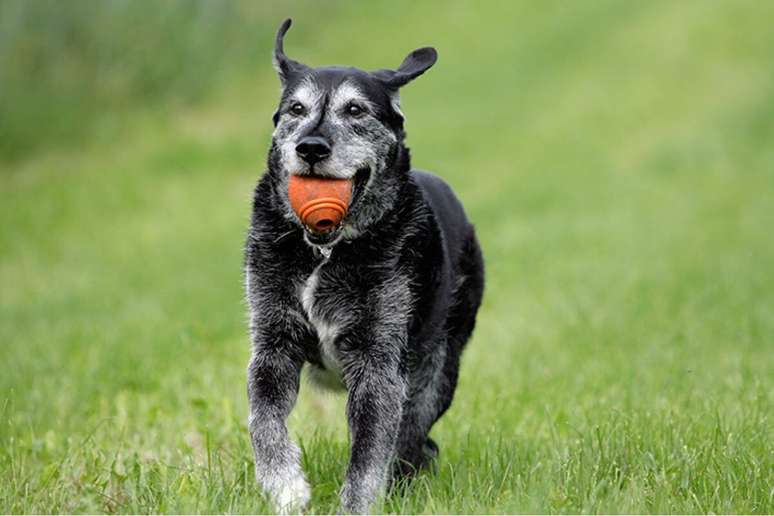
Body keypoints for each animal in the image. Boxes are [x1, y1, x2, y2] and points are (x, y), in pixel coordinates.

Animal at [246, 19, 482, 512]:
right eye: (295, 108)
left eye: (355, 109)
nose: (311, 147)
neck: (325, 252)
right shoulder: (273, 344)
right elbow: (263, 419)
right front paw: (286, 487)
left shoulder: (379, 364)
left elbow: (371, 453)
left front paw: (357, 502)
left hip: (438, 369)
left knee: (413, 436)